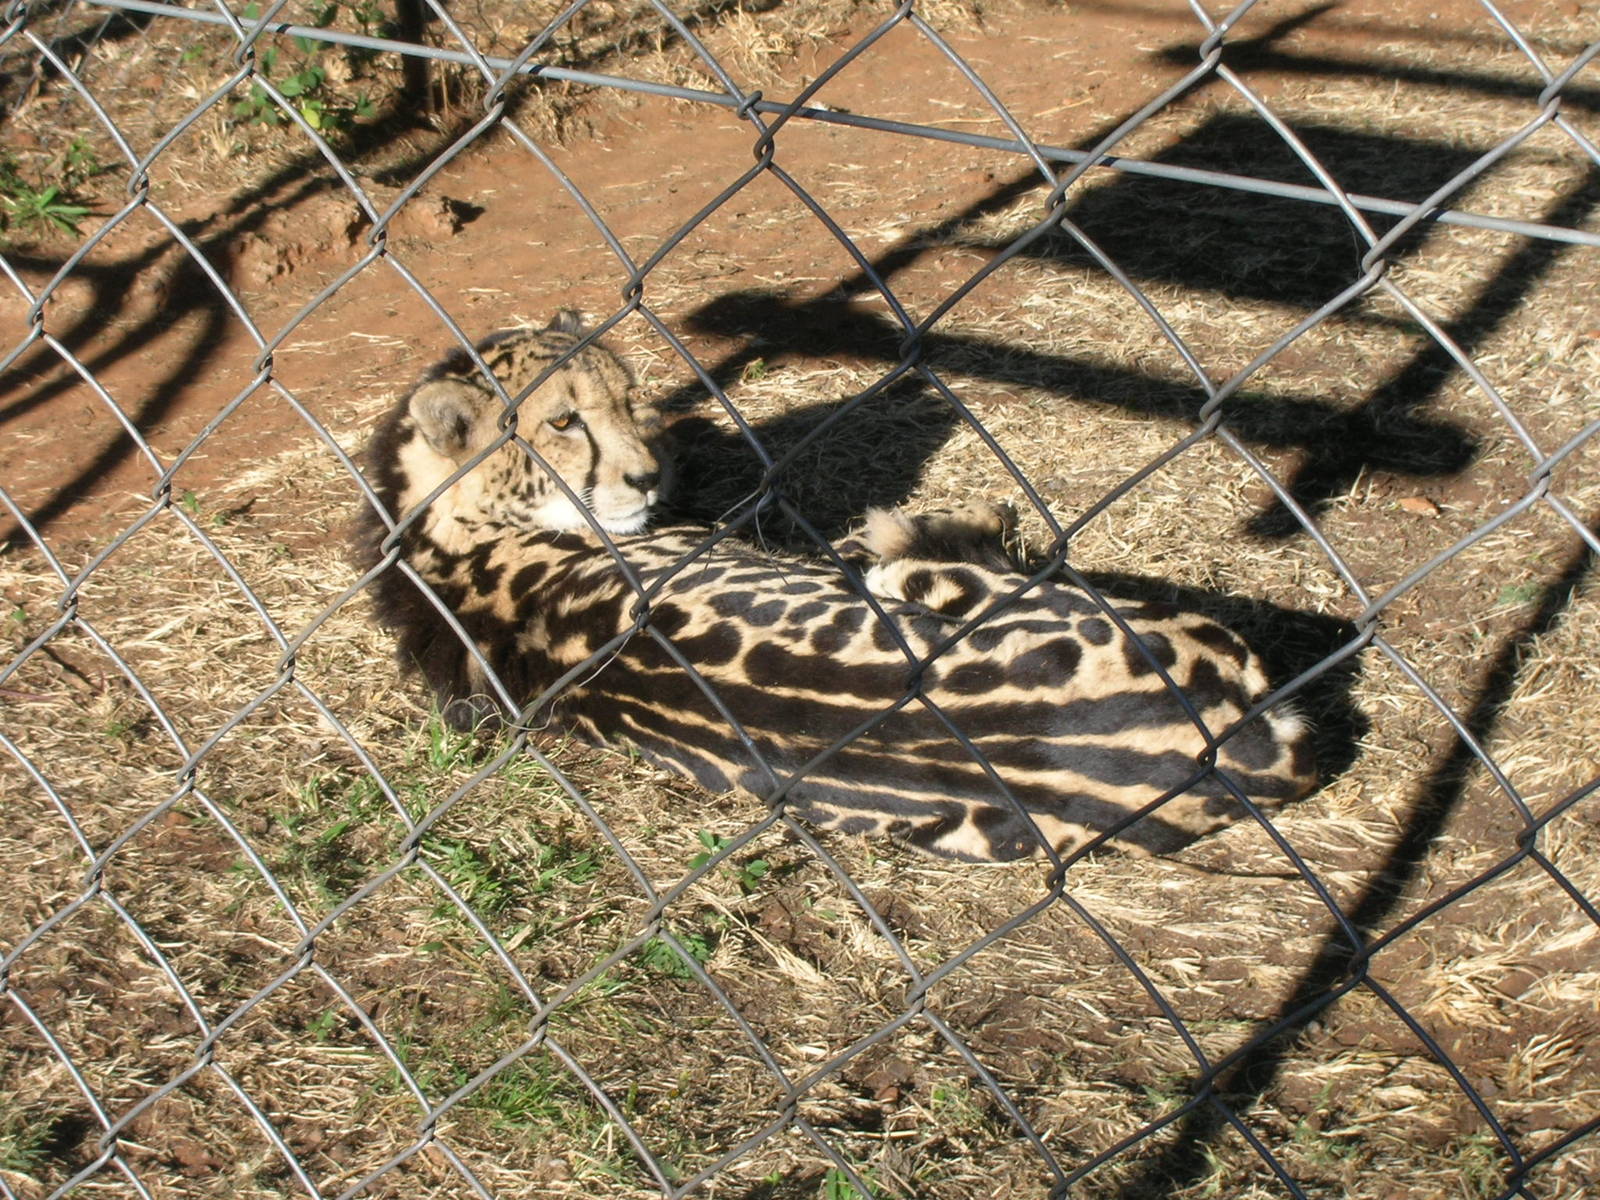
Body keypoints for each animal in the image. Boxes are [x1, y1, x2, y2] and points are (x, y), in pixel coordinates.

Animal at [353, 312, 1318, 862]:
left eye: (632, 400)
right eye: (562, 421)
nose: (648, 474)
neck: (432, 529)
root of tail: (1236, 748)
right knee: (912, 554)